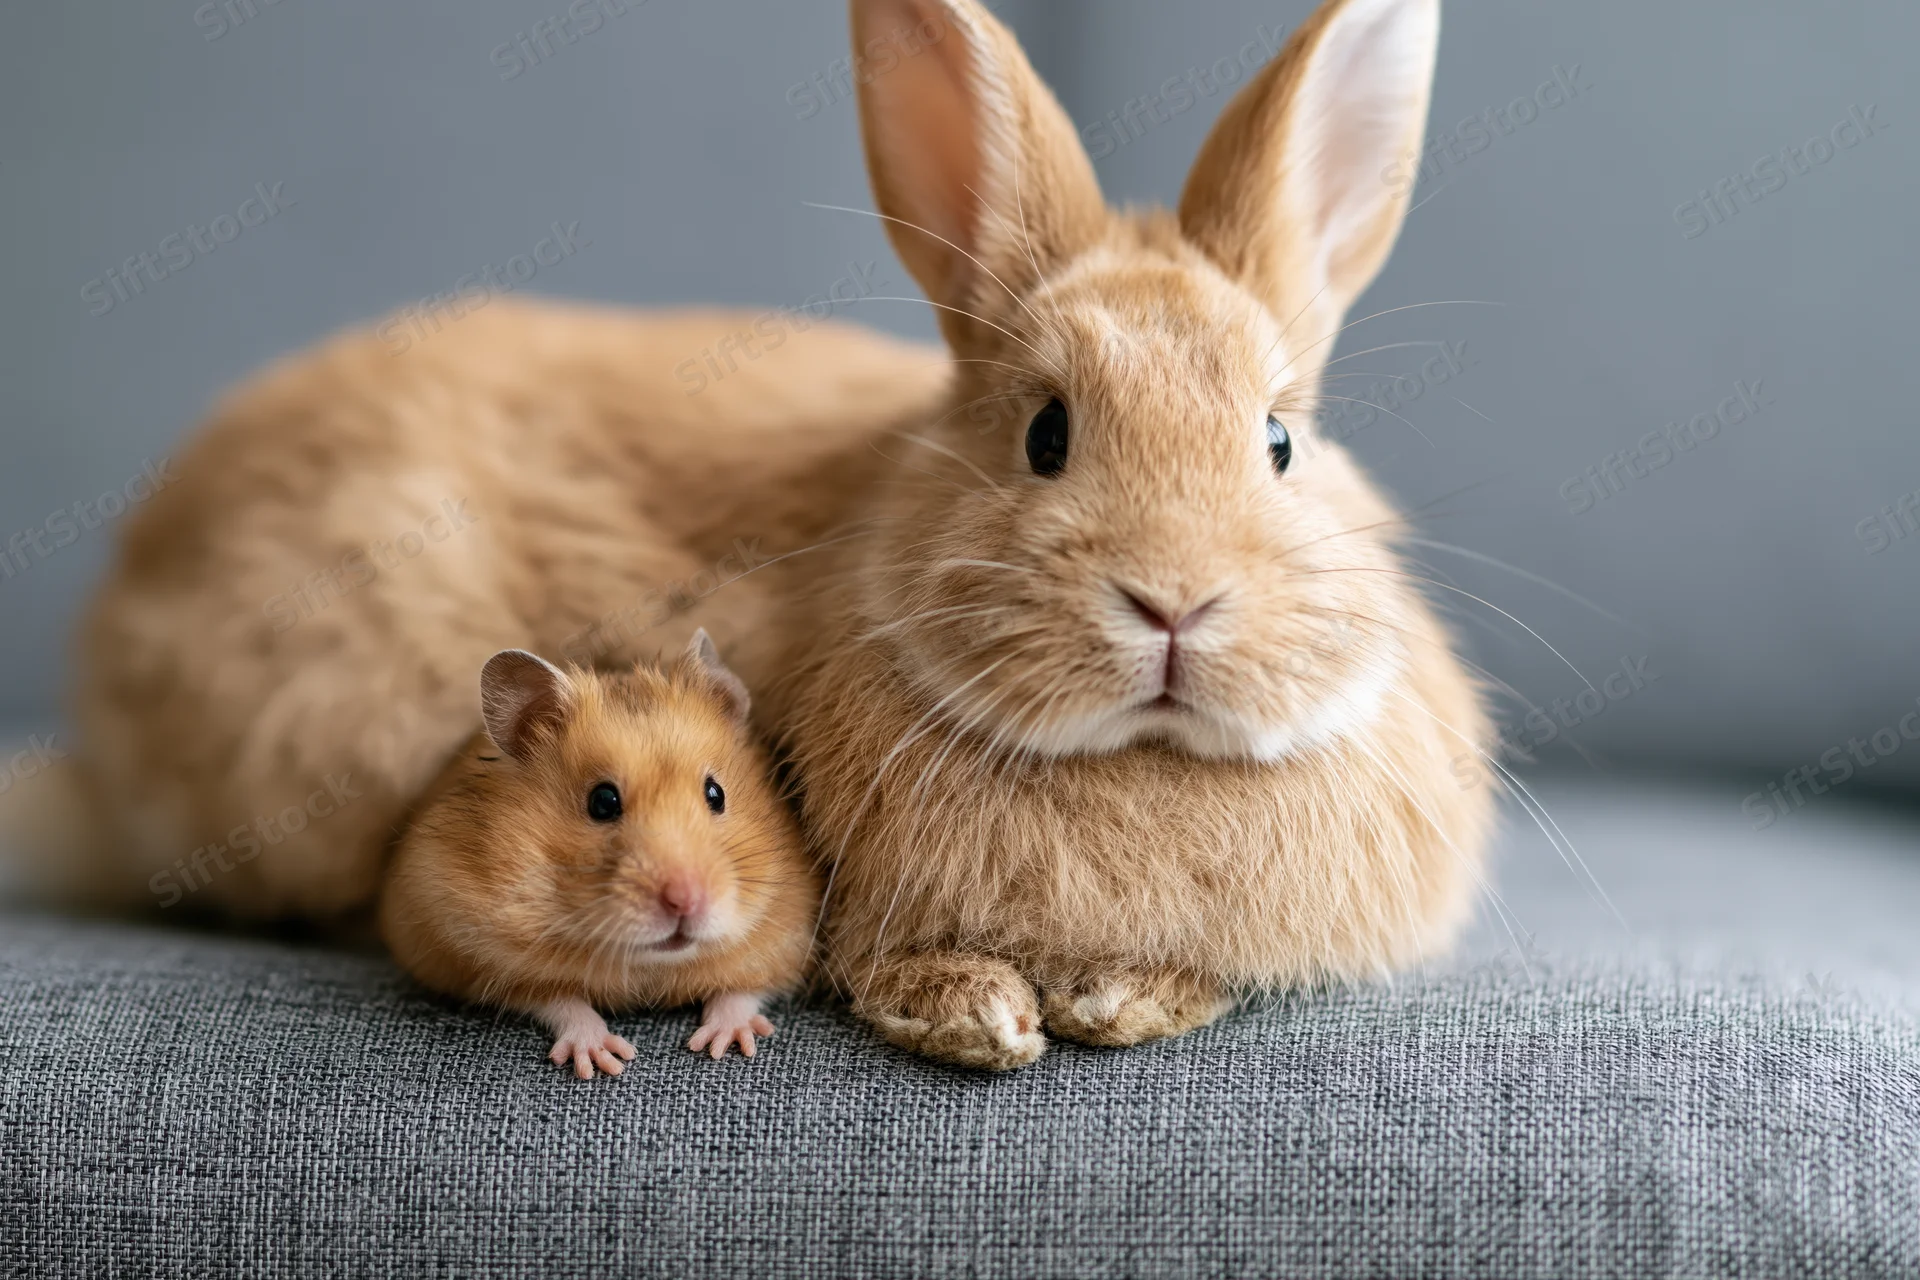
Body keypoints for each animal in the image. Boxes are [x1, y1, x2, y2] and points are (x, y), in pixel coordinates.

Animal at [380, 630, 819, 1076]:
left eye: (716, 794)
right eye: (603, 802)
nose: (685, 902)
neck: (649, 963)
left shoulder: (786, 937)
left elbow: (743, 990)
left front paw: (721, 1045)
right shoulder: (480, 955)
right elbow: (560, 1001)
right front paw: (603, 1060)